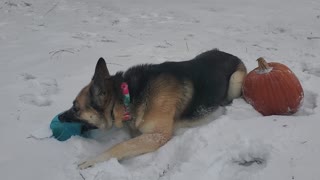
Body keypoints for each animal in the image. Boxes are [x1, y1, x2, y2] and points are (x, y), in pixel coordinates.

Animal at [58, 48, 248, 169]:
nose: (59, 118)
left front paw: (92, 161)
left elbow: (121, 146)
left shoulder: (159, 136)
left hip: (236, 80)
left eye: (75, 108)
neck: (128, 96)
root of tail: (231, 54)